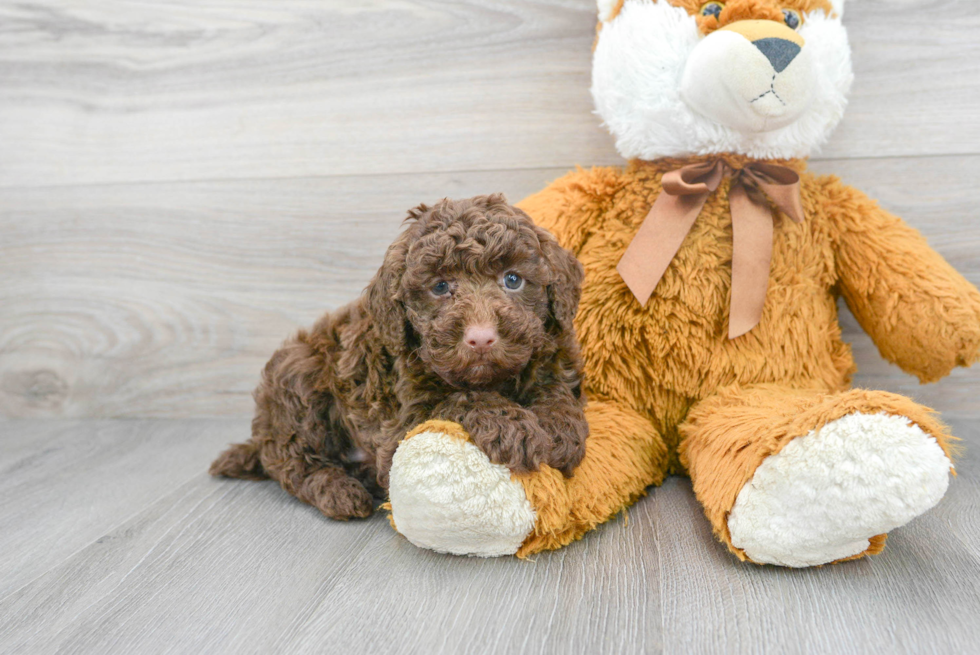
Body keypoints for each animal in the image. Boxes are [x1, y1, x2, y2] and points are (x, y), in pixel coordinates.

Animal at [210, 192, 584, 520]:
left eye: (513, 279)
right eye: (440, 286)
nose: (480, 338)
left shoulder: (554, 355)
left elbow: (555, 391)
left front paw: (559, 428)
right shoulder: (399, 427)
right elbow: (459, 398)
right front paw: (511, 426)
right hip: (301, 376)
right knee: (291, 462)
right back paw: (341, 492)